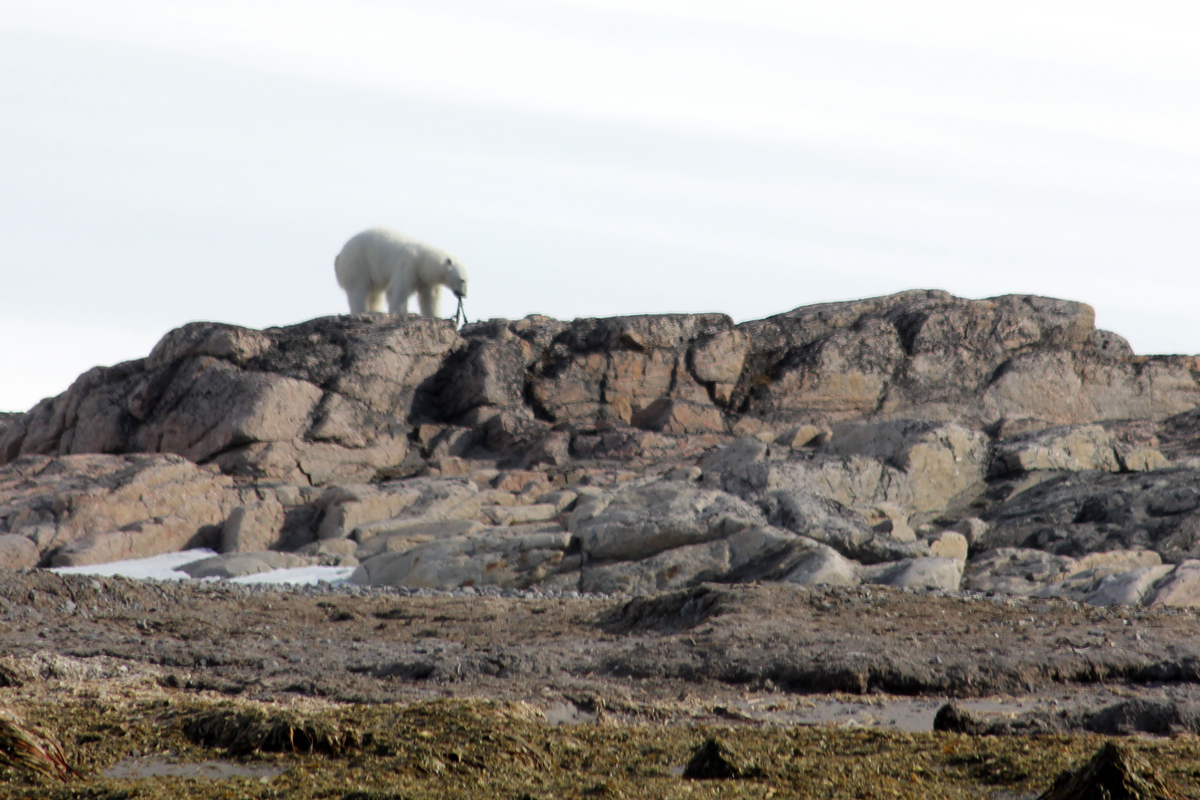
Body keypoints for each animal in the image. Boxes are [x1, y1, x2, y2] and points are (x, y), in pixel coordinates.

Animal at [334, 227, 468, 318]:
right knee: (358, 289)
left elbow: (430, 298)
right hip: (357, 263)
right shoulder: (407, 266)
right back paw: (361, 311)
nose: (463, 294)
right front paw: (401, 313)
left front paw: (434, 315)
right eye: (462, 280)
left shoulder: (426, 280)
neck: (423, 261)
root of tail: (339, 256)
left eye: (467, 280)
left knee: (374, 294)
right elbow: (397, 291)